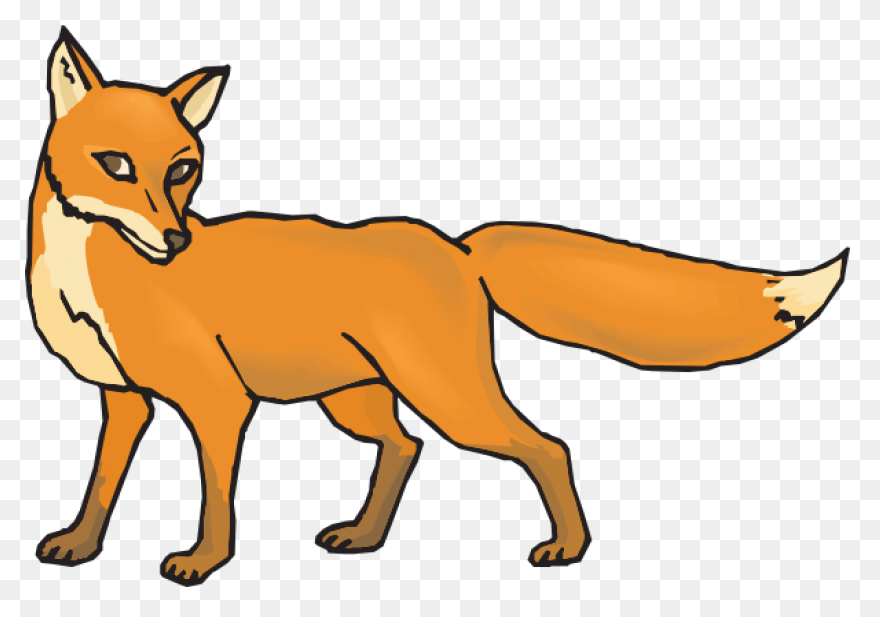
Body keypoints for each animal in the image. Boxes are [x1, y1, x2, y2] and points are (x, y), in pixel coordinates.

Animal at [27, 27, 848, 587]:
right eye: (116, 164)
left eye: (184, 169)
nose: (175, 240)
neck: (85, 279)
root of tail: (456, 244)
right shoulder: (123, 399)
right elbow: (100, 484)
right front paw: (79, 546)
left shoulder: (218, 401)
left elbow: (213, 498)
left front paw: (204, 561)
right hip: (356, 399)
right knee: (406, 447)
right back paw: (365, 537)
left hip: (448, 396)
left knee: (546, 446)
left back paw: (568, 549)